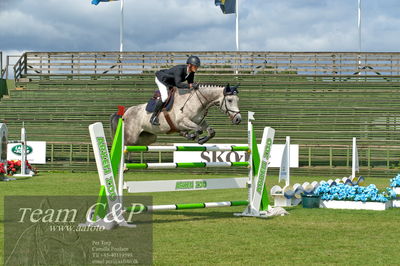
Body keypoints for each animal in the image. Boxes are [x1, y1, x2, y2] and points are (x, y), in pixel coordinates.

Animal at [110, 83, 241, 145]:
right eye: (230, 100)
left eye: (237, 100)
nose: (238, 119)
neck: (197, 101)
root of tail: (125, 113)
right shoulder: (182, 122)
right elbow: (198, 129)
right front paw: (191, 136)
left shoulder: (200, 121)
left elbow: (211, 131)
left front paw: (200, 140)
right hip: (130, 138)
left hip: (147, 137)